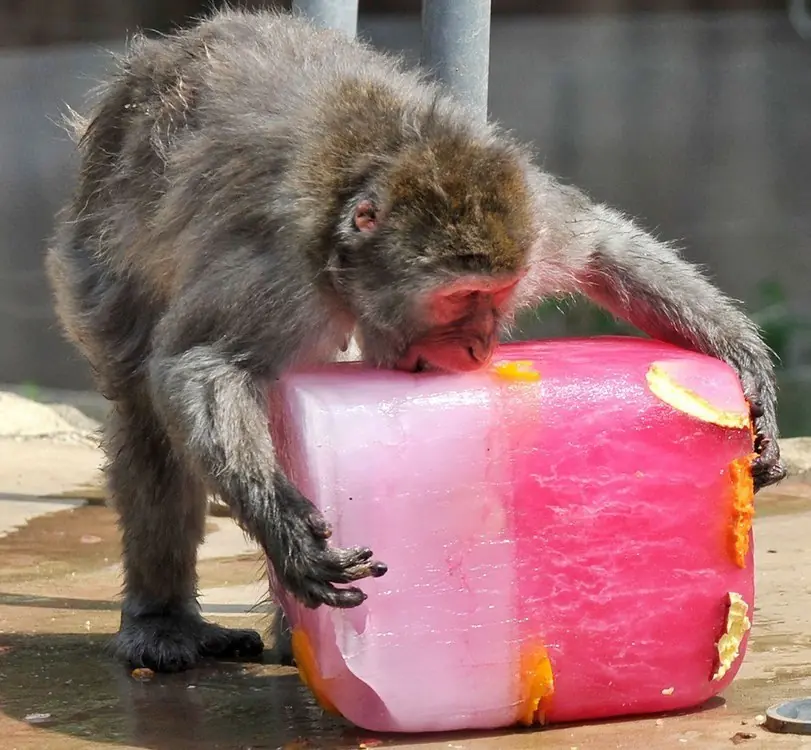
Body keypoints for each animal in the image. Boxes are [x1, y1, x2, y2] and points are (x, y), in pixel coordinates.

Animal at [45, 8, 785, 674]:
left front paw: (749, 378)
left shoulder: (531, 222)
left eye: (498, 296)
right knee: (147, 411)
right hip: (96, 264)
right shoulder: (276, 269)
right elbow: (201, 367)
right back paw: (164, 620)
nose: (480, 345)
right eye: (460, 301)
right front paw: (286, 528)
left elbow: (602, 244)